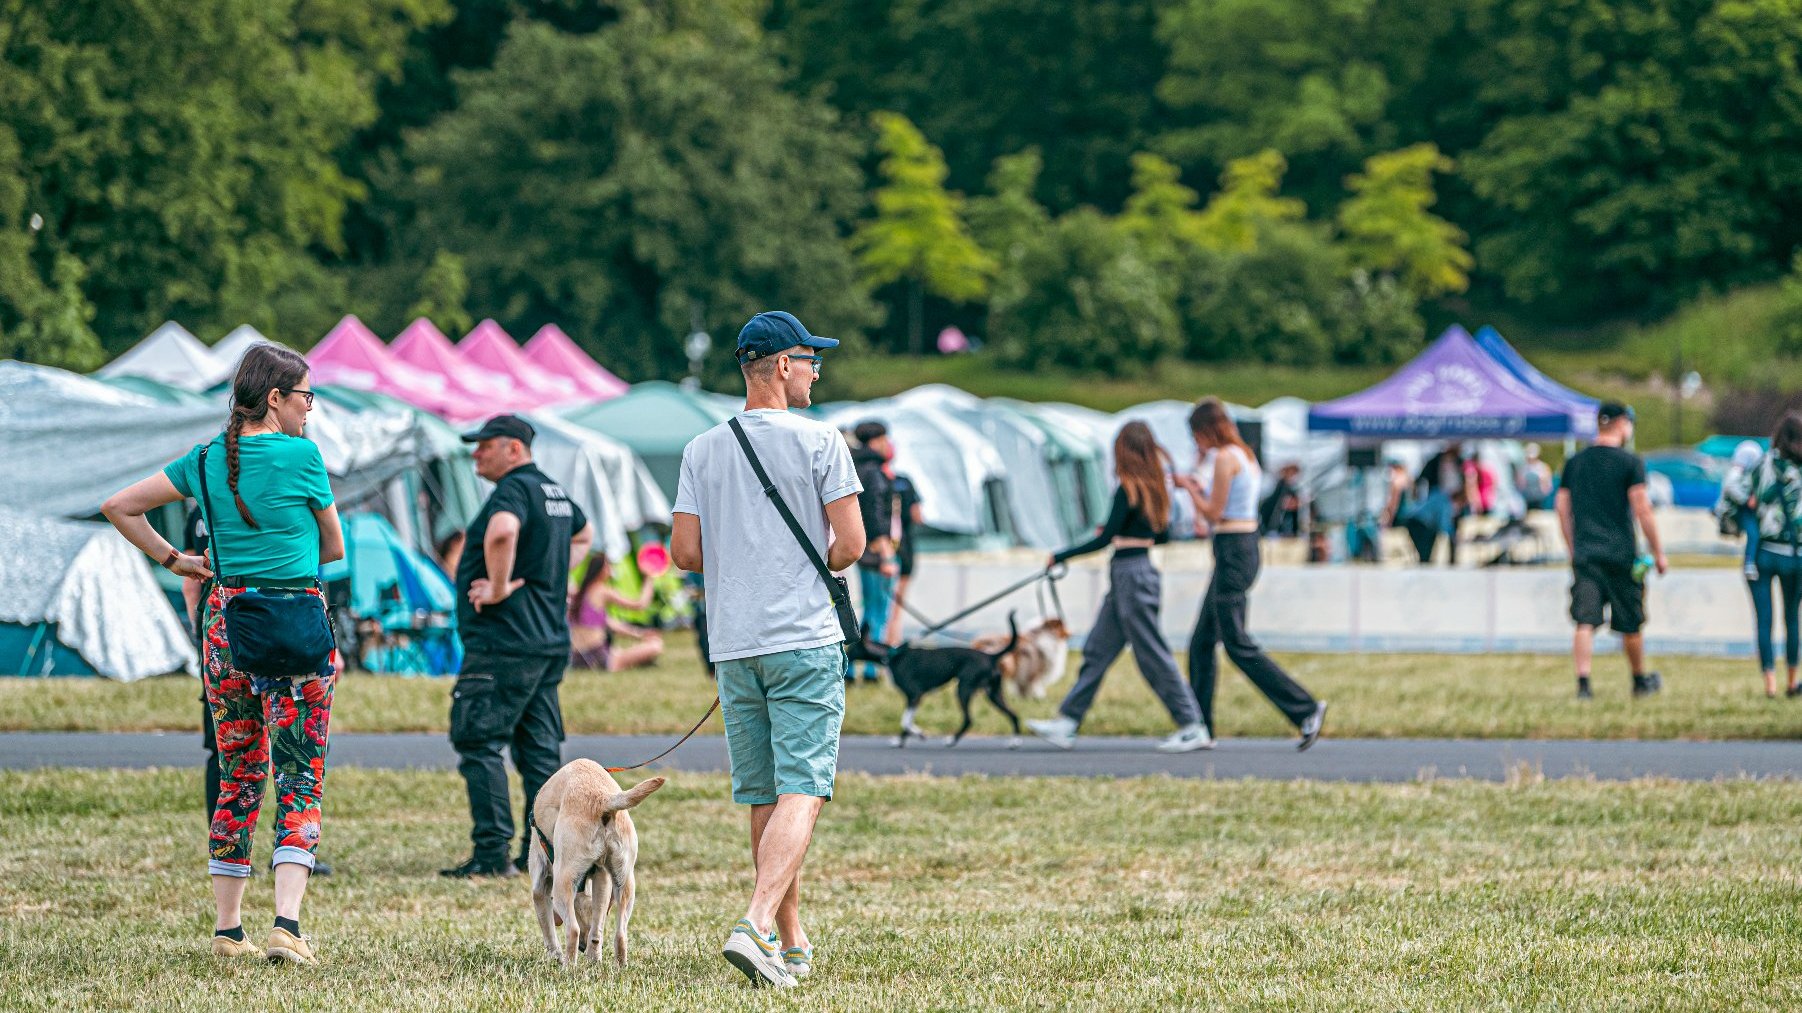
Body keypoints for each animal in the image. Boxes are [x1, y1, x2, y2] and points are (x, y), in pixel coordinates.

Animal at [529, 757, 666, 958]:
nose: (582, 947)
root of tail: (603, 799)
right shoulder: (602, 876)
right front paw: (593, 957)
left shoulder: (540, 884)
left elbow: (548, 931)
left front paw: (555, 957)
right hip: (625, 882)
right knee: (619, 935)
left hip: (562, 883)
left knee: (573, 931)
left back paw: (569, 964)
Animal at [854, 612, 1023, 746]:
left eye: (851, 647)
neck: (892, 656)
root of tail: (990, 656)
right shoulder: (914, 698)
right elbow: (907, 721)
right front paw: (904, 740)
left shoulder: (914, 695)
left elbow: (905, 721)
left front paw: (917, 734)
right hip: (994, 694)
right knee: (1014, 715)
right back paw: (1014, 742)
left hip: (963, 689)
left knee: (969, 719)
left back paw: (951, 741)